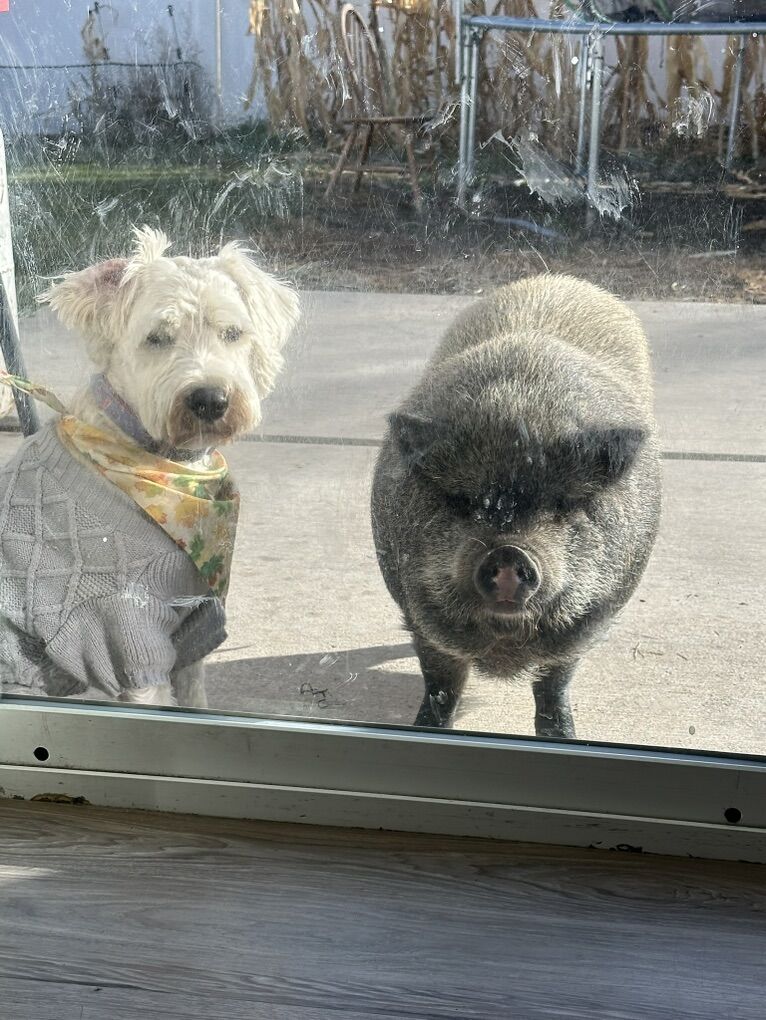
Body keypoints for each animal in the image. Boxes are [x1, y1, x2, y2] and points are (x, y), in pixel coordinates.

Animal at [370, 275, 661, 738]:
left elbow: (553, 685)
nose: (508, 551)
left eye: (566, 504)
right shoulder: (420, 614)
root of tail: (559, 281)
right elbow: (441, 683)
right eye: (461, 501)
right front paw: (426, 727)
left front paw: (562, 737)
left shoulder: (586, 623)